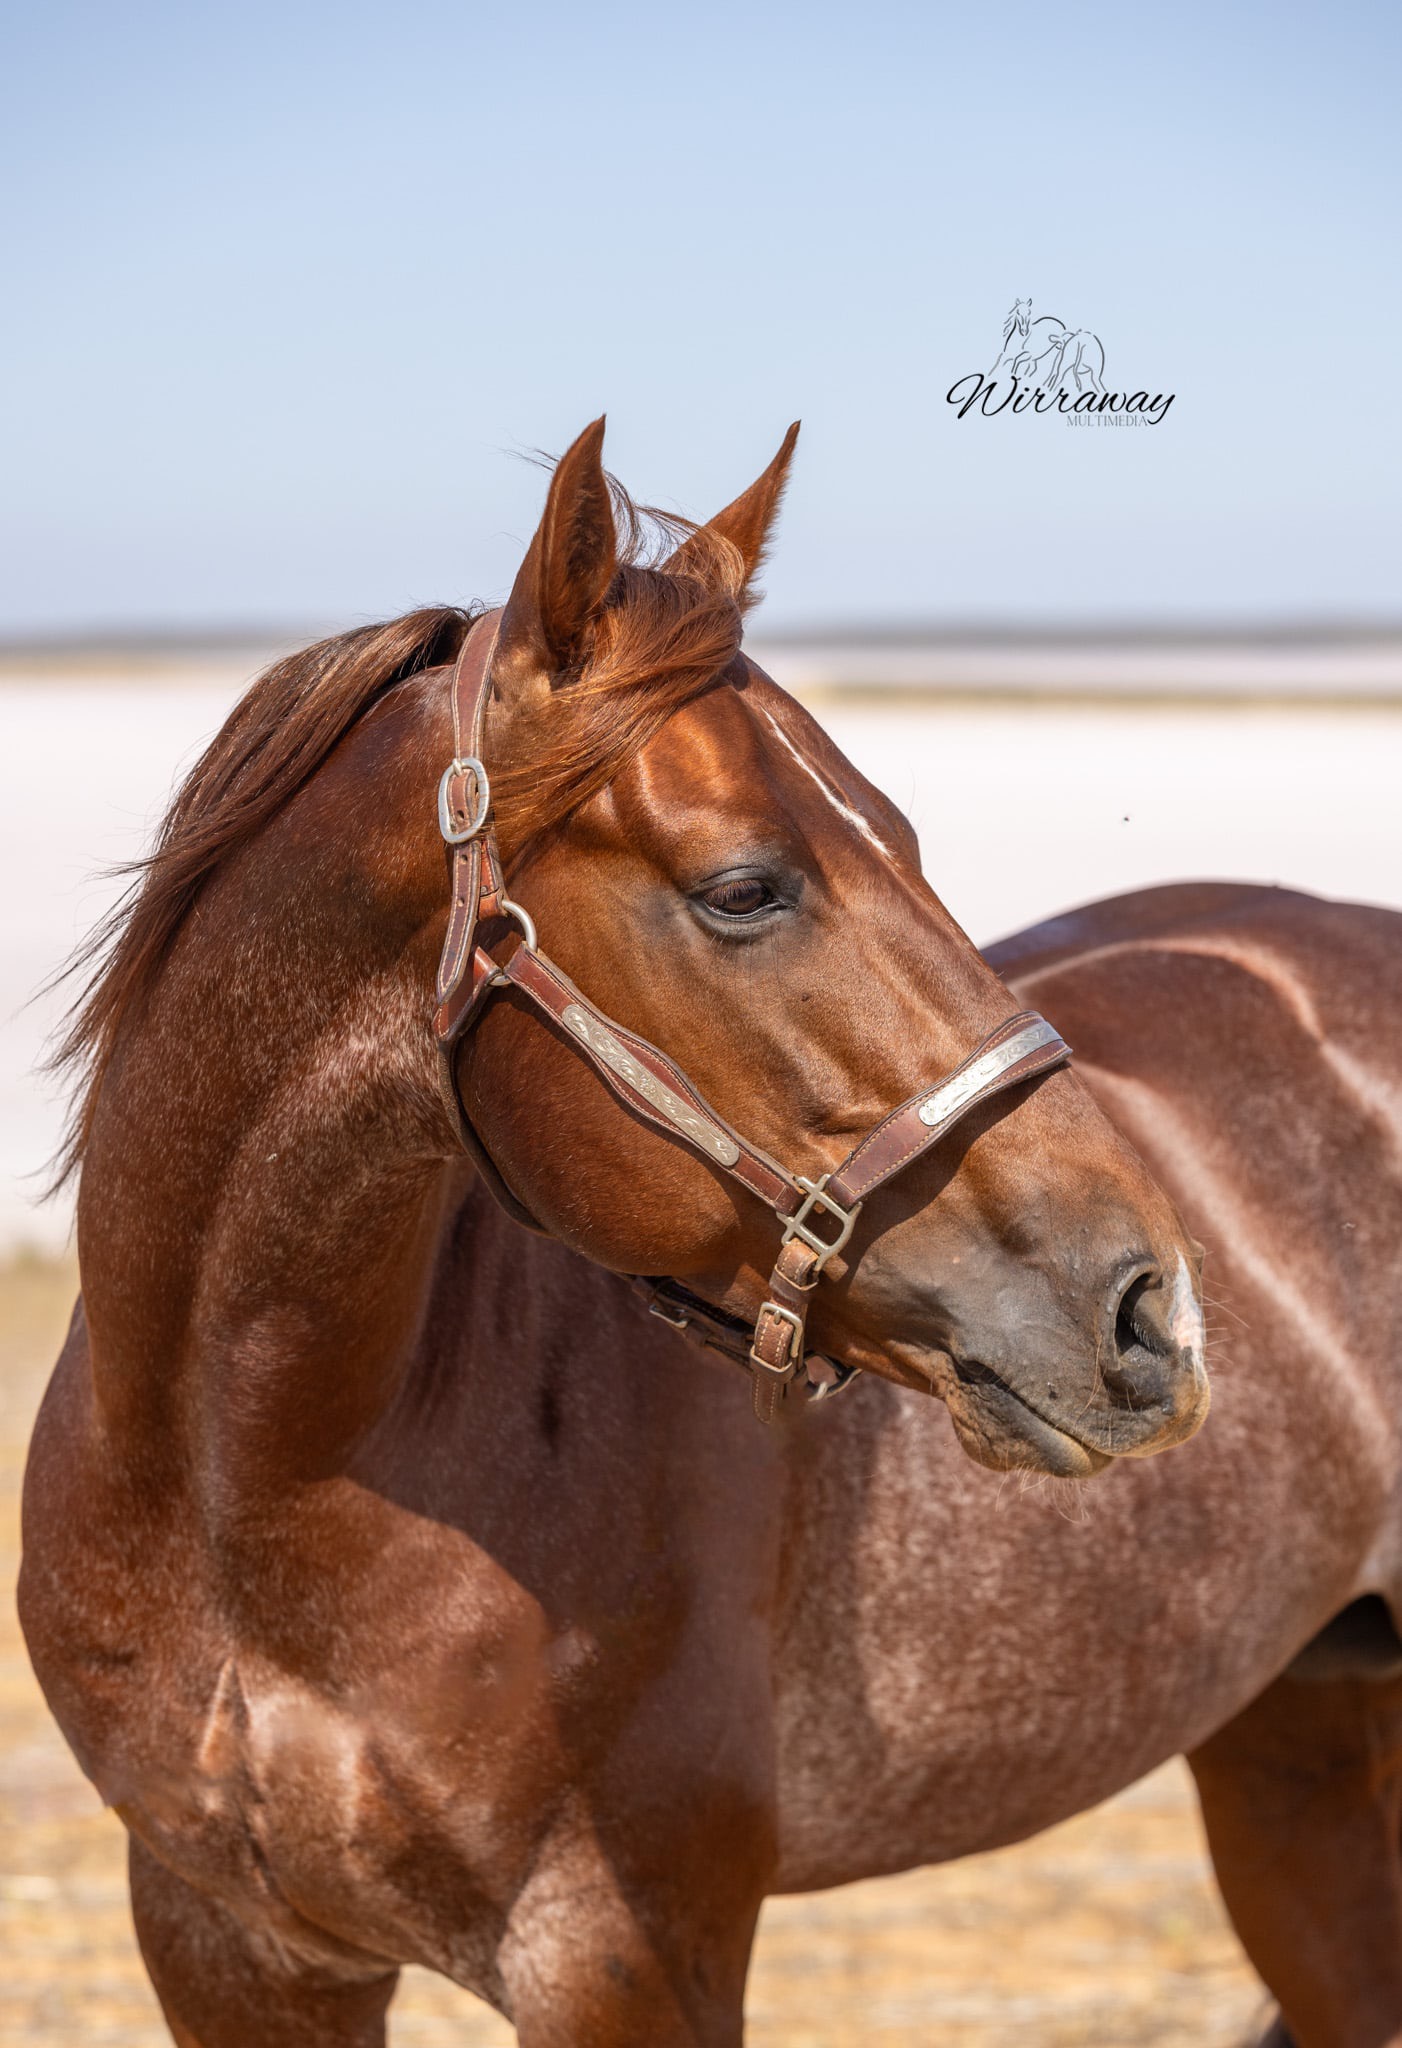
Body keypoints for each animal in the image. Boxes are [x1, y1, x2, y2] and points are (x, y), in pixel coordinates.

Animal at [18, 419, 1402, 2048]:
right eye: (744, 888)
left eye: (906, 838)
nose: (1146, 1308)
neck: (252, 1494)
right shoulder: (230, 1946)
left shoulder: (626, 1955)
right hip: (1295, 1757)